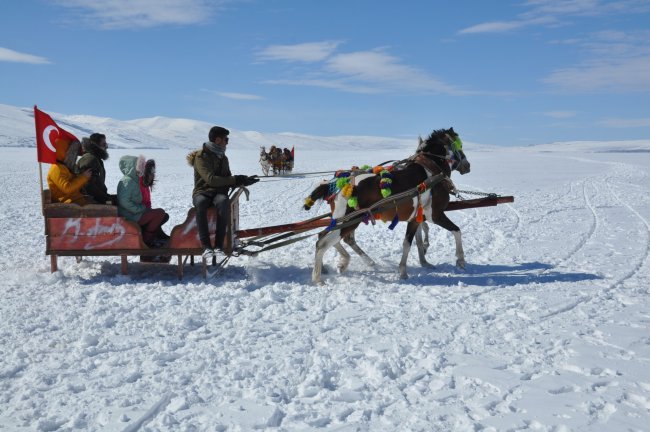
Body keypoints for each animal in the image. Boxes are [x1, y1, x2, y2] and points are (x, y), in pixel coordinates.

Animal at [306, 127, 468, 284]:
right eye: (460, 145)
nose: (468, 166)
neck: (431, 173)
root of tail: (340, 184)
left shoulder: (416, 219)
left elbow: (411, 242)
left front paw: (415, 266)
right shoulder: (435, 214)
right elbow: (456, 231)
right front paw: (460, 260)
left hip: (341, 220)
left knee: (326, 236)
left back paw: (343, 263)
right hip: (349, 221)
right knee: (323, 242)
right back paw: (318, 278)